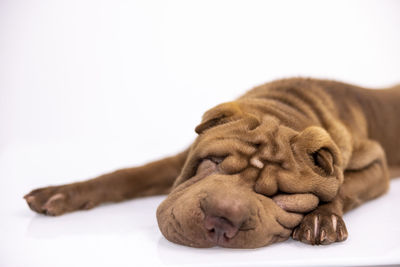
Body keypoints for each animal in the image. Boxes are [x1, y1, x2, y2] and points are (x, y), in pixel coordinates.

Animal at [24, 77, 400, 249]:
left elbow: (344, 188)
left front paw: (322, 218)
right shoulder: (178, 159)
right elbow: (128, 175)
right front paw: (60, 193)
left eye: (281, 195)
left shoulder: (376, 165)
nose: (222, 216)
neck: (286, 108)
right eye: (213, 161)